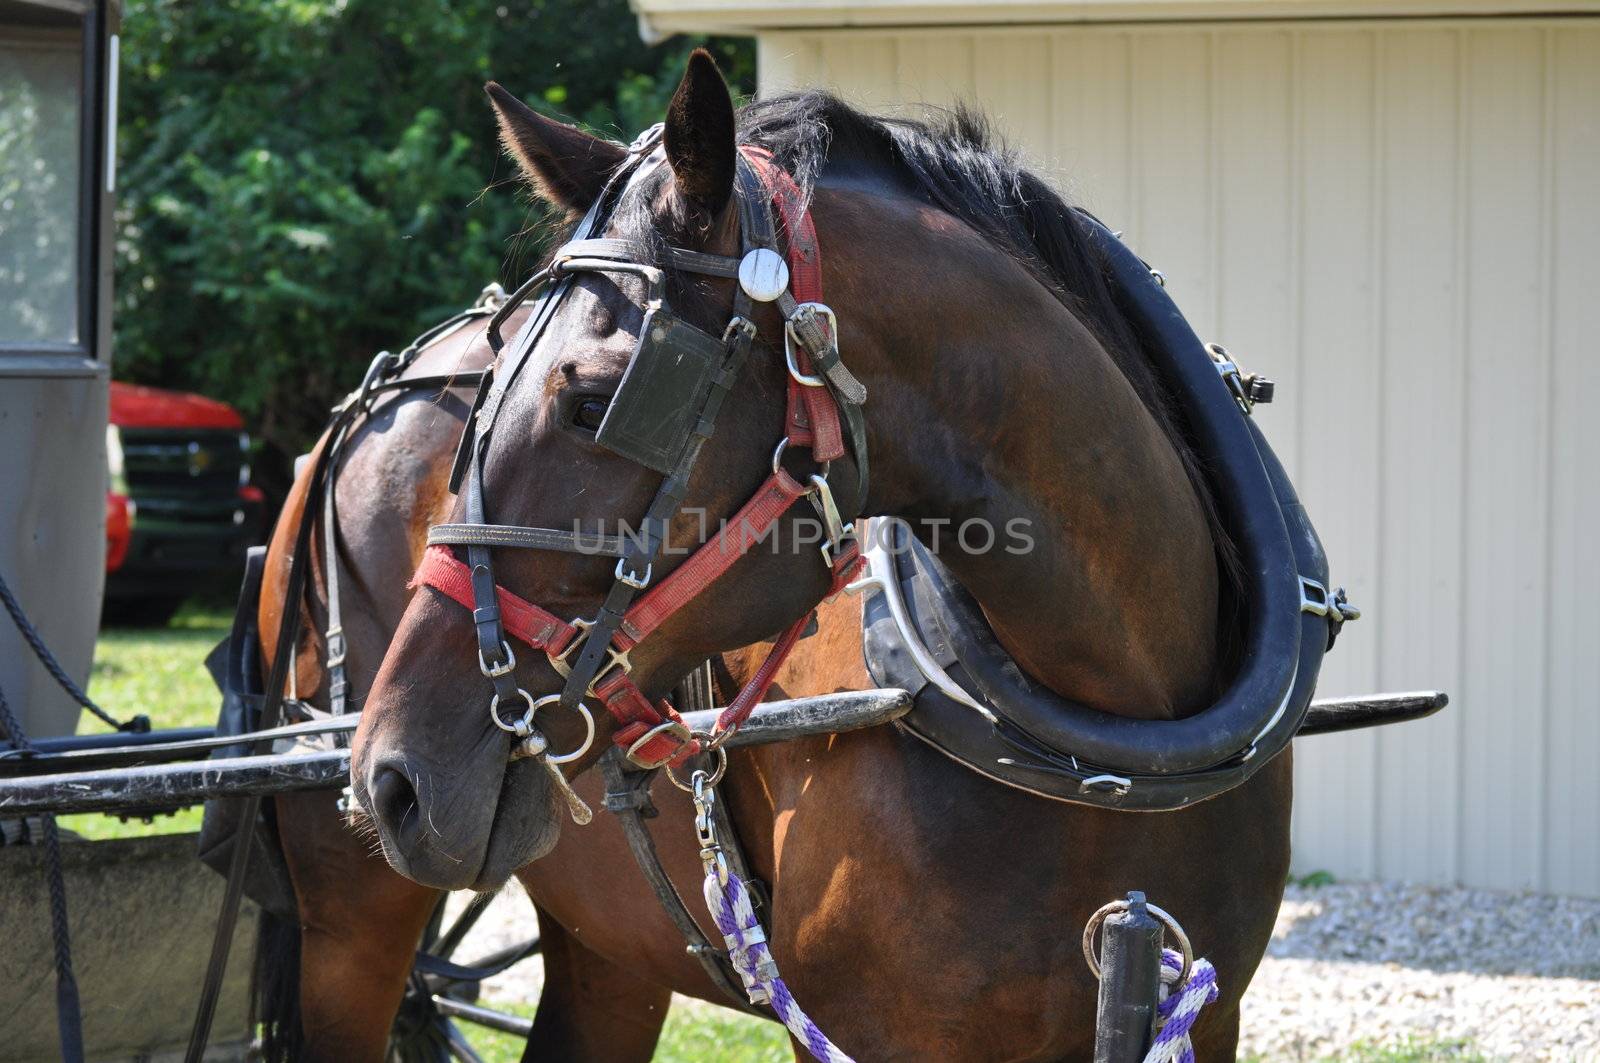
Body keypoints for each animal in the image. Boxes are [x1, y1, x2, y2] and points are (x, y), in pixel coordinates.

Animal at [347, 52, 1286, 1063]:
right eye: (488, 385)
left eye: (593, 401)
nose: (390, 778)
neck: (1106, 748)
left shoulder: (1210, 1014)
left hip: (608, 951)